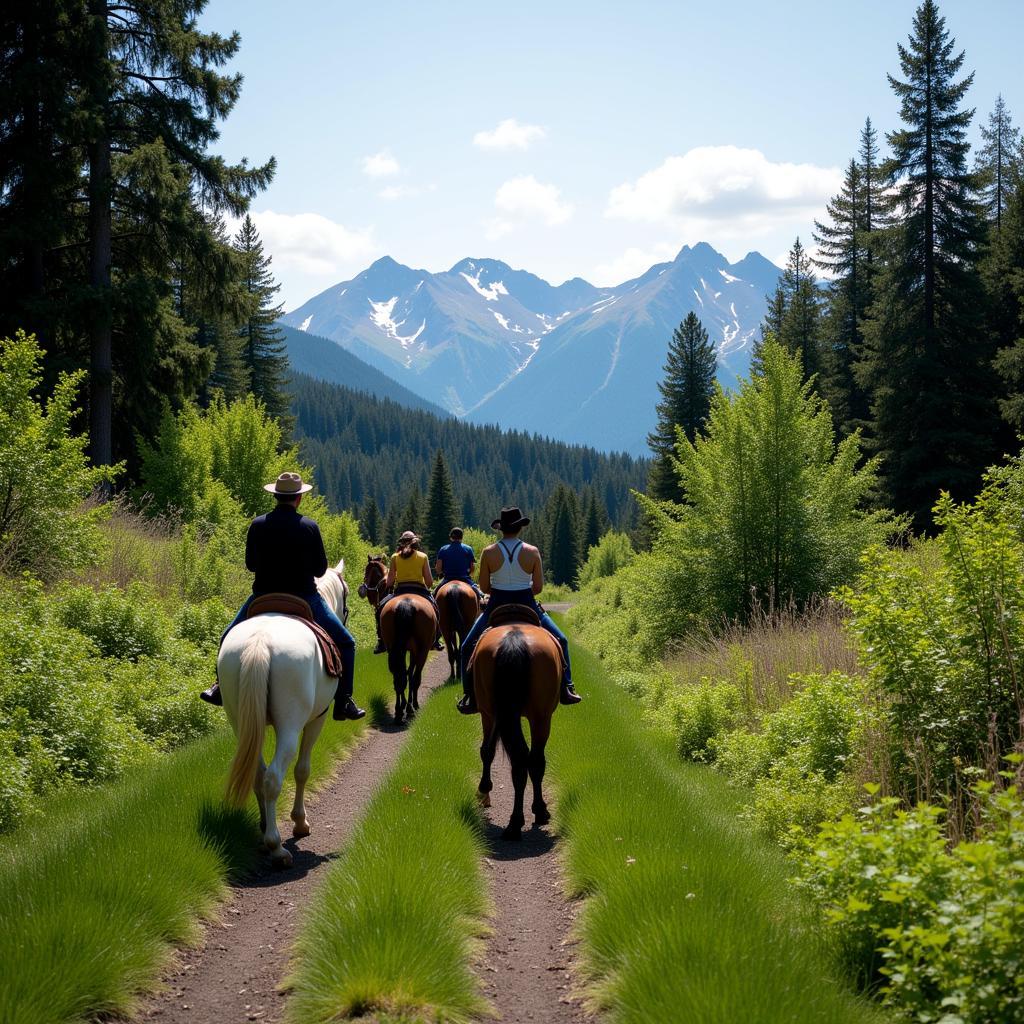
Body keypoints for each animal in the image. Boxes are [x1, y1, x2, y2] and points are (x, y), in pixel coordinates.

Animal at [220, 557, 352, 868]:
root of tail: (260, 641)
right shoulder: (318, 719)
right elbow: (303, 770)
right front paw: (300, 822)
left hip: (240, 721)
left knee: (258, 775)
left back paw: (264, 831)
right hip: (290, 728)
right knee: (273, 778)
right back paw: (277, 846)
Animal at [360, 557, 436, 724]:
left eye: (366, 572)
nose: (364, 592)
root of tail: (406, 604)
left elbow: (405, 674)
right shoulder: (414, 651)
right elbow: (411, 675)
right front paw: (411, 705)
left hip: (395, 649)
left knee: (399, 677)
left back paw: (399, 711)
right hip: (421, 650)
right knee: (413, 677)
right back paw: (410, 708)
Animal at [471, 614, 561, 839]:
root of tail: (514, 640)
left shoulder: (488, 714)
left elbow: (487, 750)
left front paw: (484, 790)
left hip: (508, 713)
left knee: (522, 760)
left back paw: (515, 823)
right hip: (540, 716)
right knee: (532, 761)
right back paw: (529, 816)